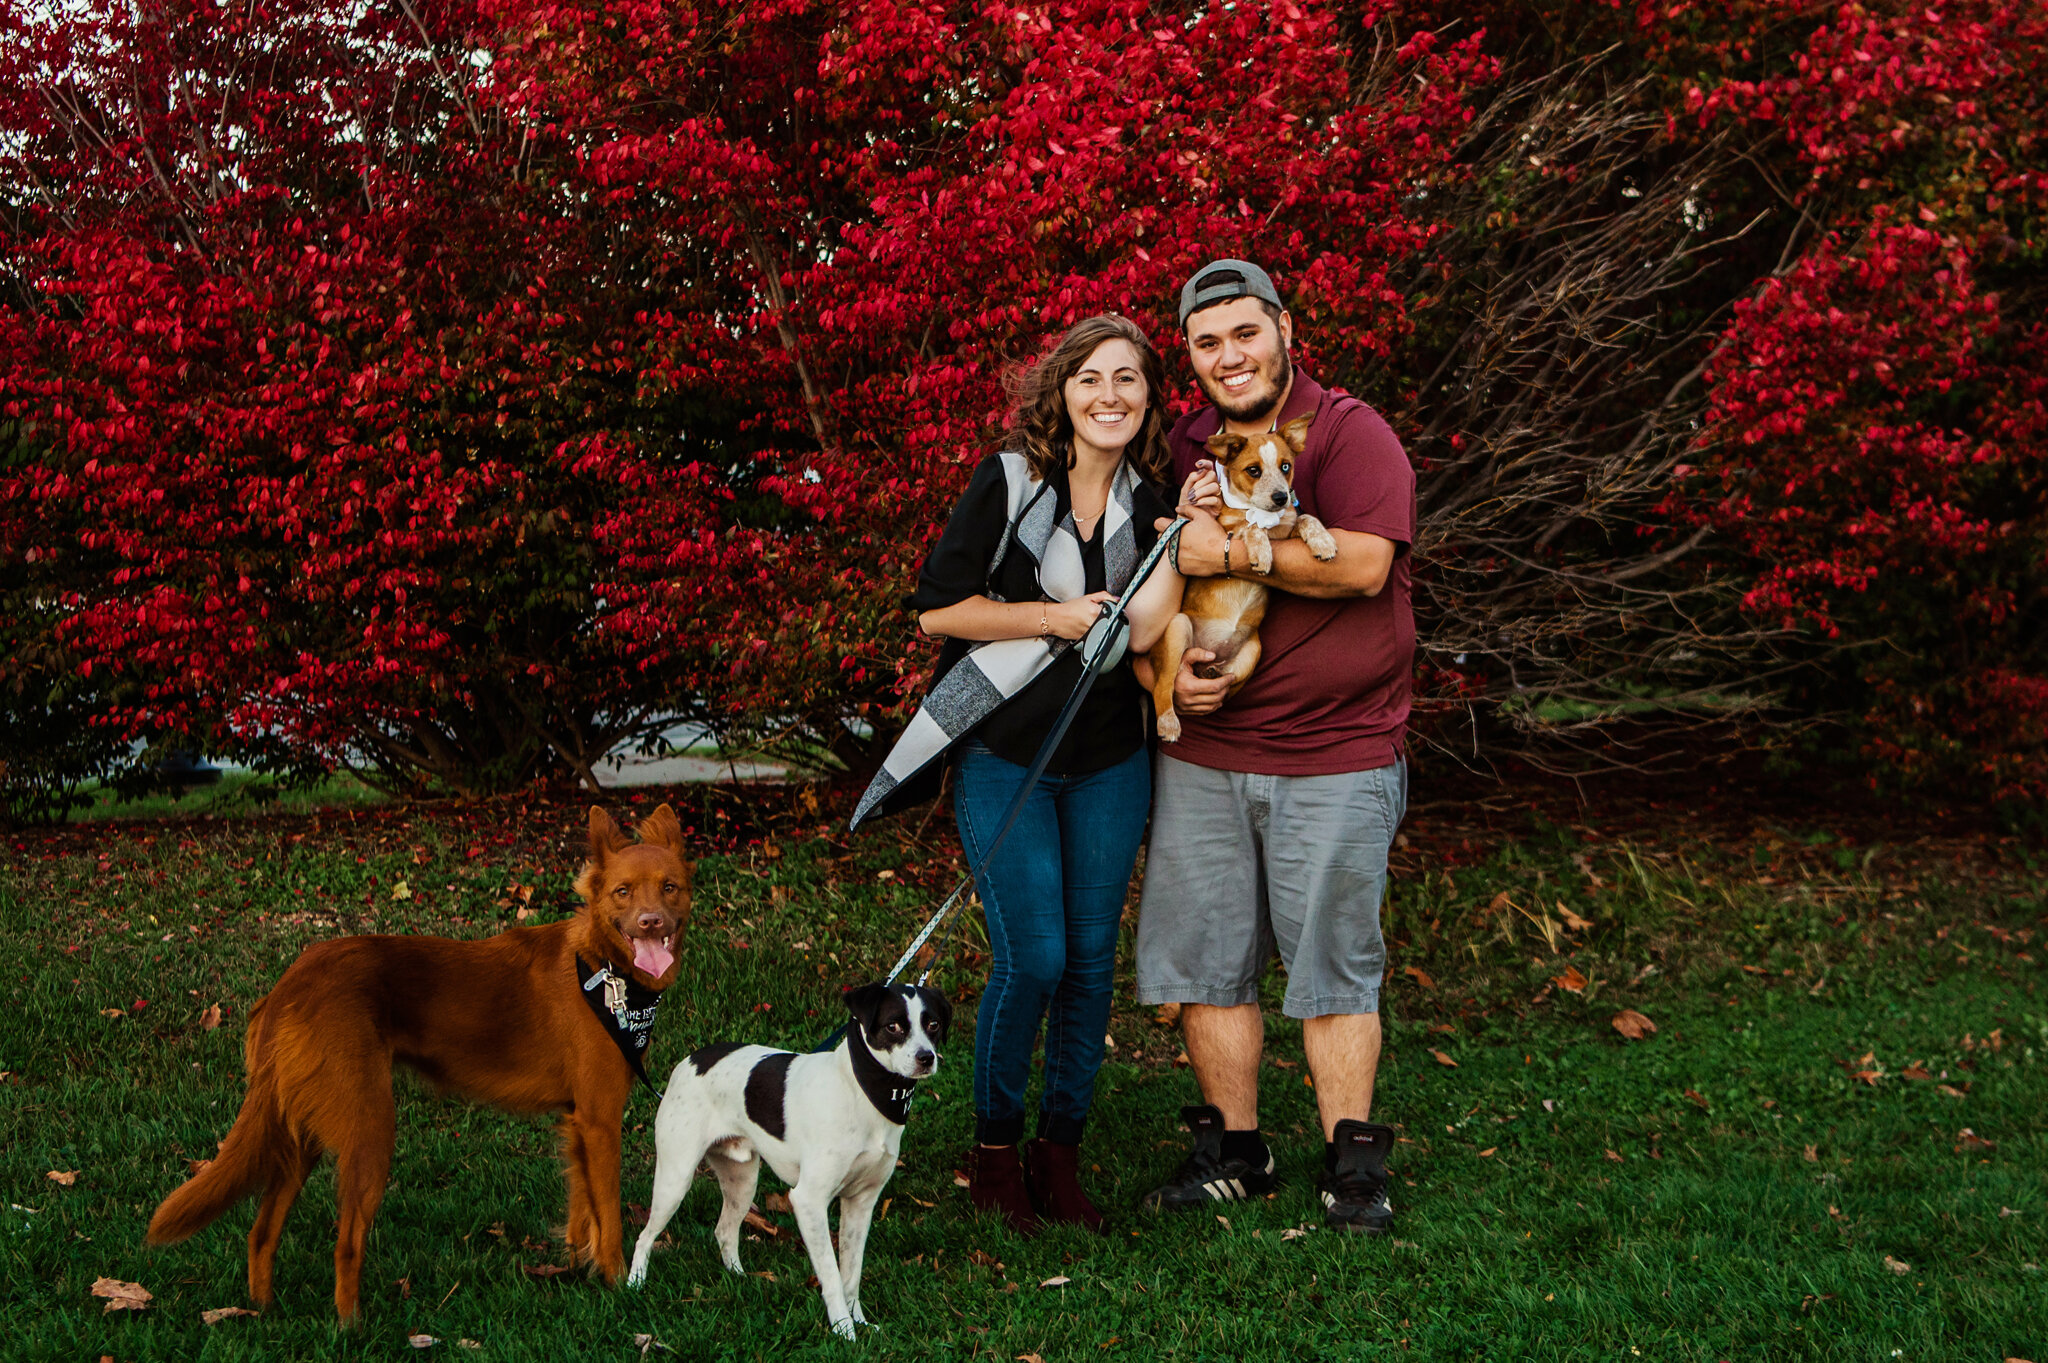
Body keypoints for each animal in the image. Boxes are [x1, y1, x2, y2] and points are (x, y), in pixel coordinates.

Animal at [148, 802, 696, 1309]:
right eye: (623, 892)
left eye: (669, 887)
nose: (650, 922)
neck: (606, 971)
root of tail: (294, 978)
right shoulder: (600, 1120)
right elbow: (610, 1212)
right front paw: (618, 1282)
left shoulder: (578, 1120)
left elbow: (584, 1210)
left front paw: (583, 1269)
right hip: (370, 1127)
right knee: (346, 1244)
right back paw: (352, 1329)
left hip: (300, 1132)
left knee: (261, 1232)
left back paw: (262, 1311)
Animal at [622, 982, 950, 1334]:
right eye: (893, 1026)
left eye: (933, 1025)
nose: (926, 1058)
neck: (861, 1091)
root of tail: (688, 1061)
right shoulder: (808, 1200)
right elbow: (832, 1275)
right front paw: (844, 1330)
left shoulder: (862, 1202)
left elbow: (851, 1273)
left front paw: (859, 1322)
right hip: (676, 1179)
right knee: (645, 1238)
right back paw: (635, 1285)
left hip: (742, 1181)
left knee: (724, 1231)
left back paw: (739, 1278)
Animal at [1146, 413, 1335, 736]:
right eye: (1253, 470)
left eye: (1286, 466)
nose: (1281, 497)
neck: (1266, 516)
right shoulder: (1226, 529)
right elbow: (1251, 527)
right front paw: (1261, 552)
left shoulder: (1288, 527)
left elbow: (1306, 518)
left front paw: (1322, 541)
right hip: (1177, 628)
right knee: (1164, 684)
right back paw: (1168, 723)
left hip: (1253, 652)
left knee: (1223, 690)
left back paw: (1211, 673)